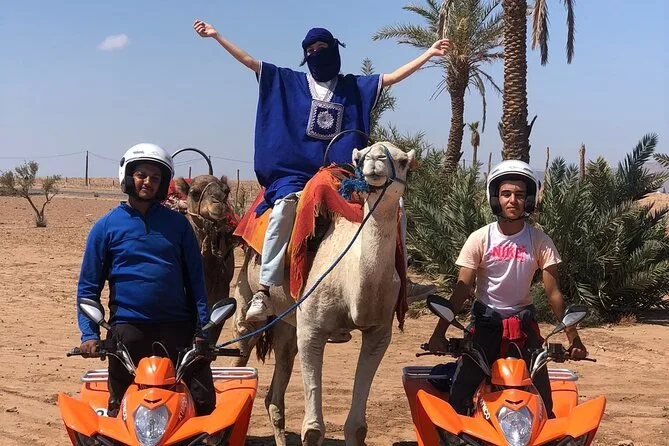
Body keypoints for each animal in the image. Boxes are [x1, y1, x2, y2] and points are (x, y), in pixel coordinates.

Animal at [232, 142, 415, 445]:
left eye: (402, 161)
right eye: (360, 157)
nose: (375, 162)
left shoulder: (379, 332)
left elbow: (357, 427)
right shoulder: (312, 330)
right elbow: (313, 430)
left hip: (286, 324)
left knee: (275, 393)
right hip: (247, 296)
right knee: (242, 342)